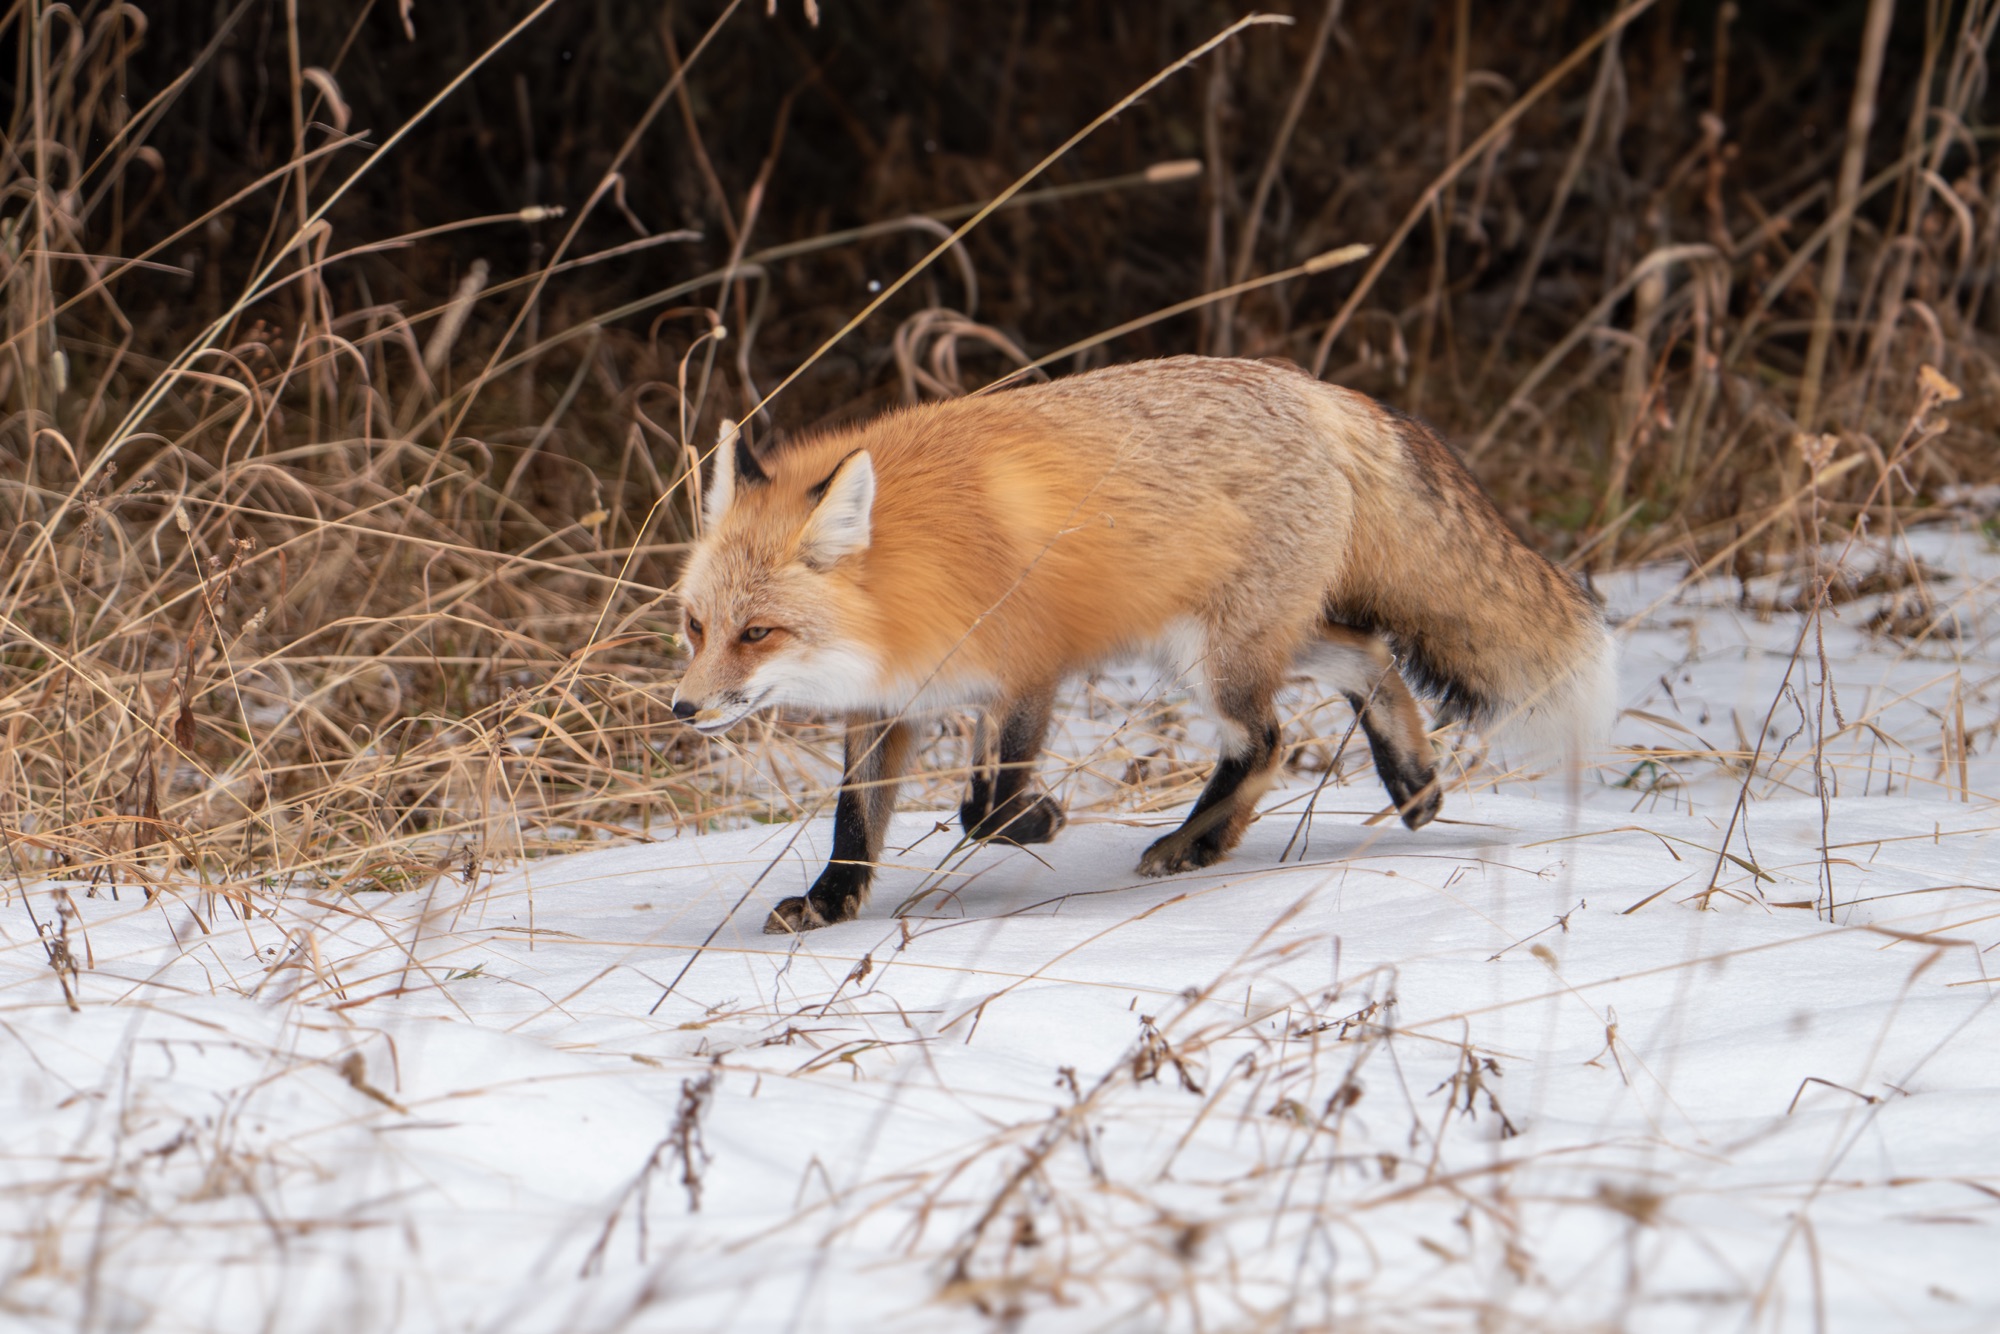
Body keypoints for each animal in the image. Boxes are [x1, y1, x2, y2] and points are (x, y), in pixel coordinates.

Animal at [680, 360, 1616, 936]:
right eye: (695, 626)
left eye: (757, 632)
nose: (683, 709)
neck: (911, 579)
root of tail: (1316, 390)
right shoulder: (885, 704)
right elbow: (854, 817)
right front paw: (831, 901)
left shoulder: (1031, 670)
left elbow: (989, 808)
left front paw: (1041, 820)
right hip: (1234, 640)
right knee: (1370, 657)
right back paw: (1413, 782)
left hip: (1215, 657)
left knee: (1268, 738)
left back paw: (1195, 843)